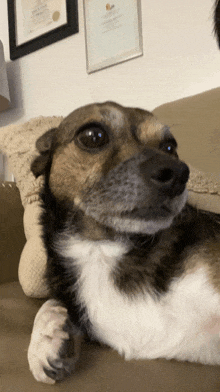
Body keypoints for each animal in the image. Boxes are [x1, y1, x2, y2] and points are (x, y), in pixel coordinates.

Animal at [27, 101, 220, 382]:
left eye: (170, 147)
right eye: (93, 136)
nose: (177, 173)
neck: (101, 248)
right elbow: (49, 302)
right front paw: (46, 339)